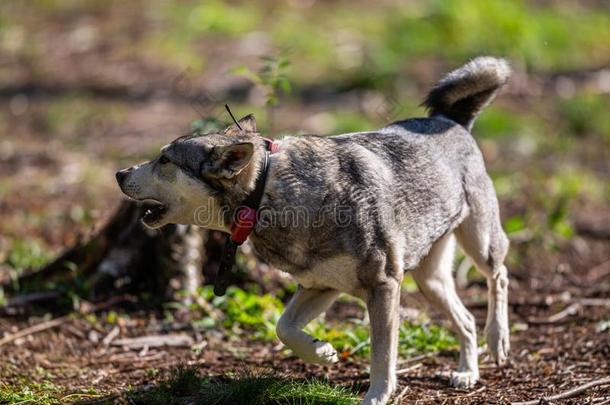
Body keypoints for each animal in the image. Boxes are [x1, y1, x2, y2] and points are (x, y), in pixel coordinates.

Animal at [116, 57, 510, 404]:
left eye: (165, 159)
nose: (119, 173)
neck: (268, 191)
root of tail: (450, 120)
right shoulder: (319, 286)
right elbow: (283, 329)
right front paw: (324, 352)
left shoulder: (383, 286)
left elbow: (382, 357)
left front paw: (376, 397)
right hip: (431, 282)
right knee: (466, 319)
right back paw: (467, 373)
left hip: (478, 244)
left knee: (499, 276)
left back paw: (498, 340)